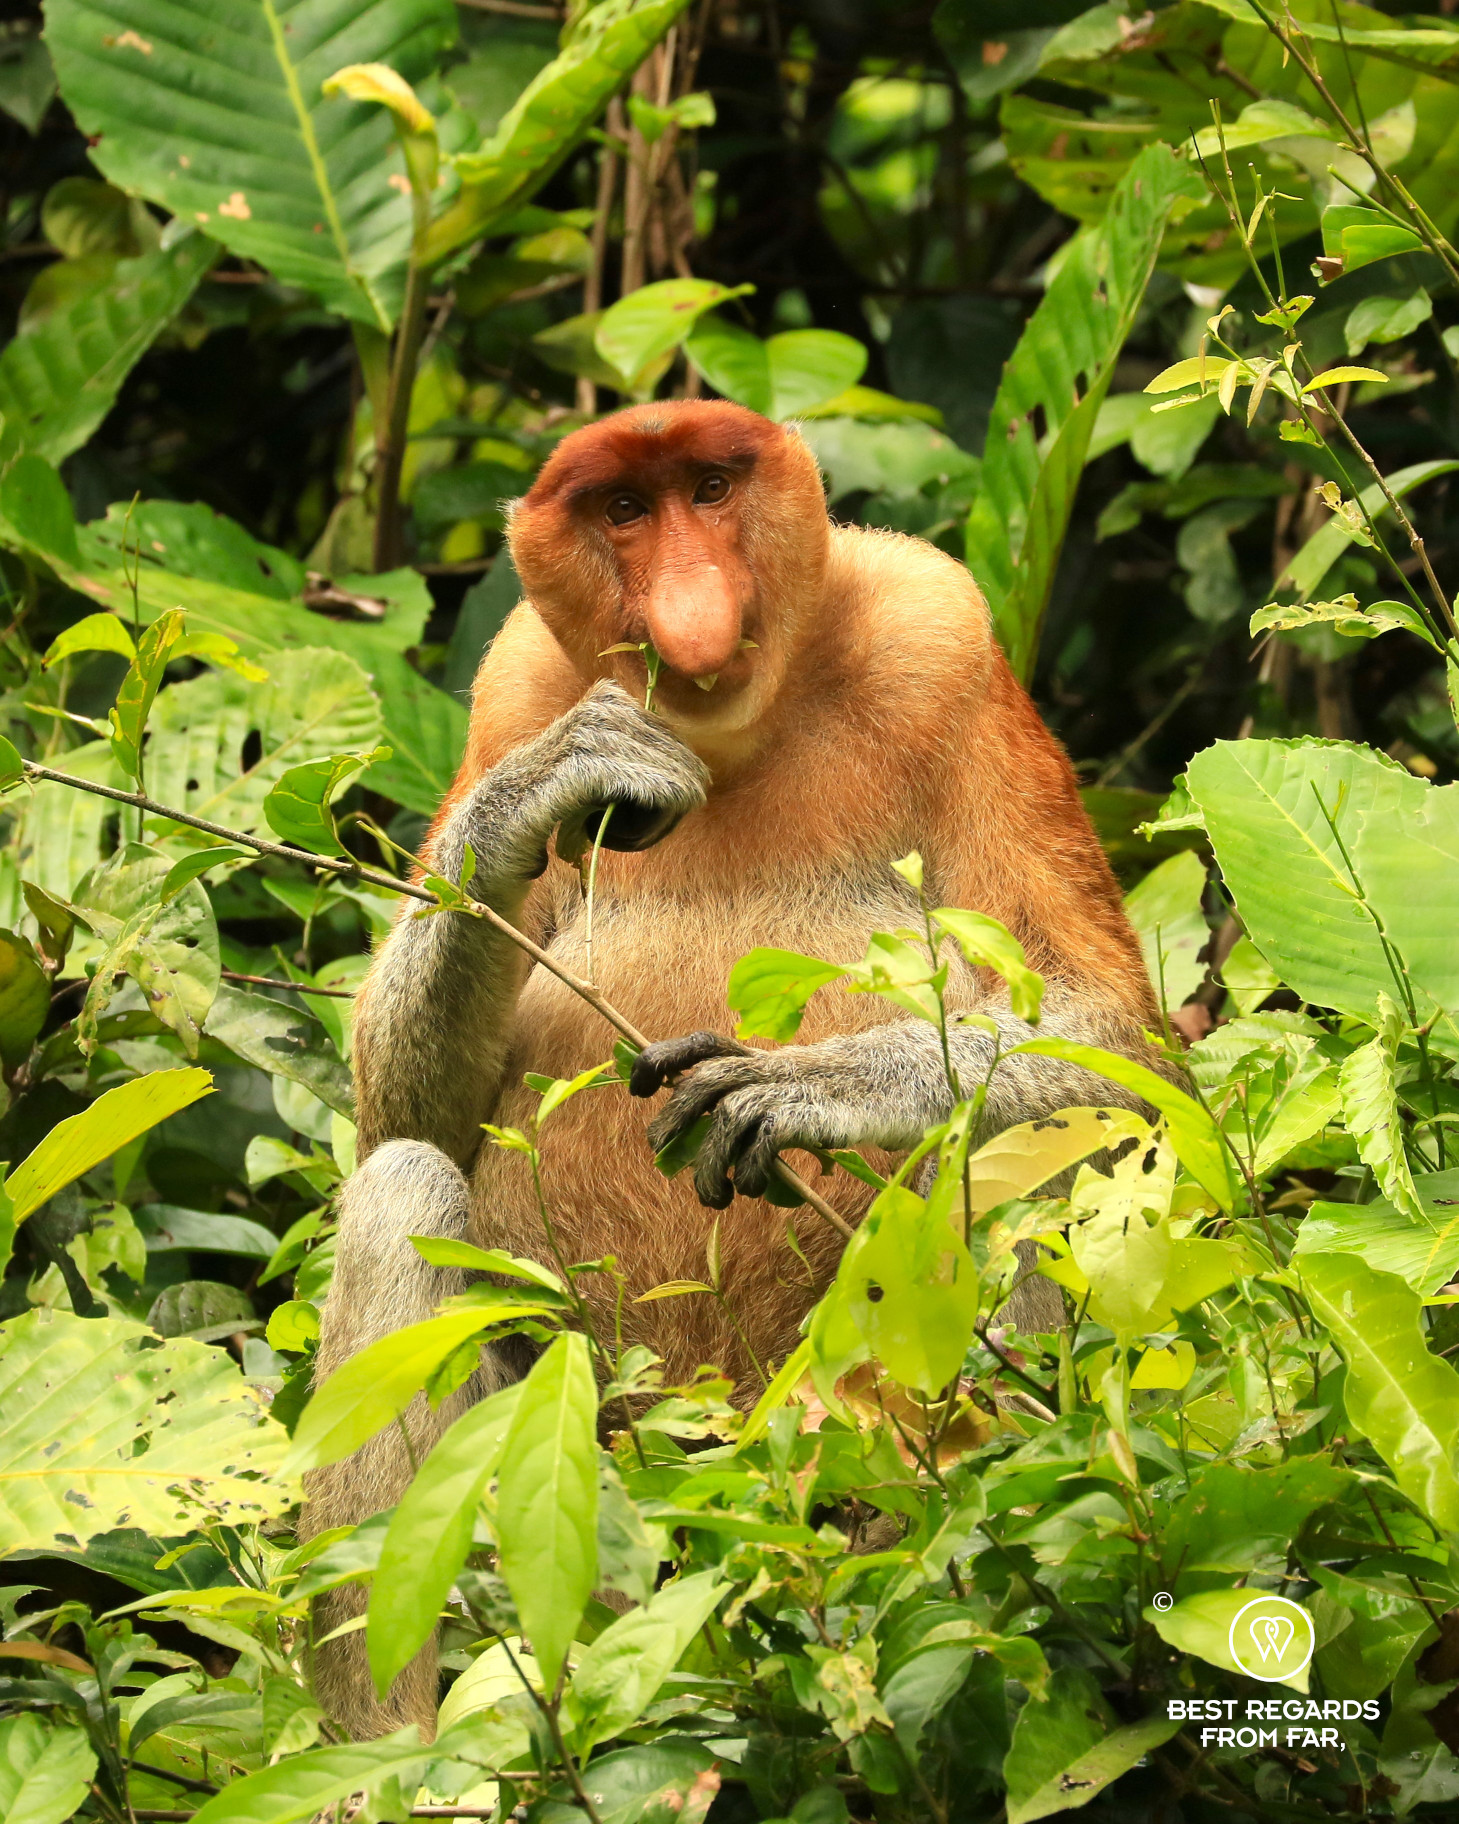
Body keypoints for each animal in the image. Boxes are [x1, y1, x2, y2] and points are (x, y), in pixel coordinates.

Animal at [302, 399, 1165, 1739]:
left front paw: (814, 1090)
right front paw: (543, 788)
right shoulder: (512, 685)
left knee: (1031, 1158)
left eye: (710, 489)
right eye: (622, 510)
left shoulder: (942, 637)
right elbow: (410, 1114)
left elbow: (1107, 1032)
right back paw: (404, 1749)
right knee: (403, 1187)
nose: (691, 609)